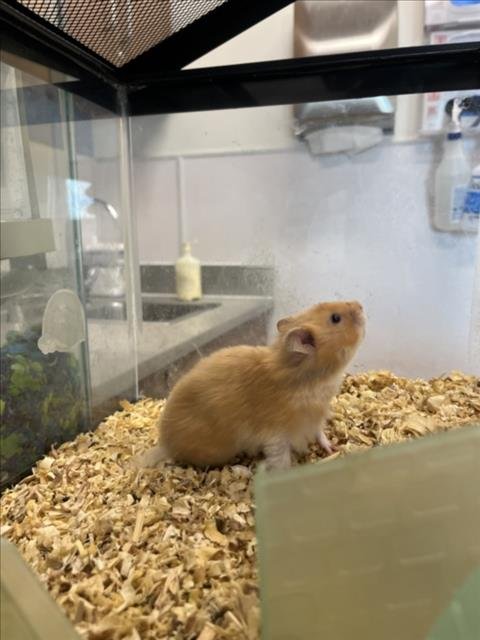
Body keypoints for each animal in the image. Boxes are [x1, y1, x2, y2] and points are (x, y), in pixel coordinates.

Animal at [137, 300, 365, 471]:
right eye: (335, 318)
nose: (360, 304)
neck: (310, 377)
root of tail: (164, 444)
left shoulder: (317, 418)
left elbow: (320, 434)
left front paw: (332, 448)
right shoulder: (278, 434)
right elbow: (281, 458)